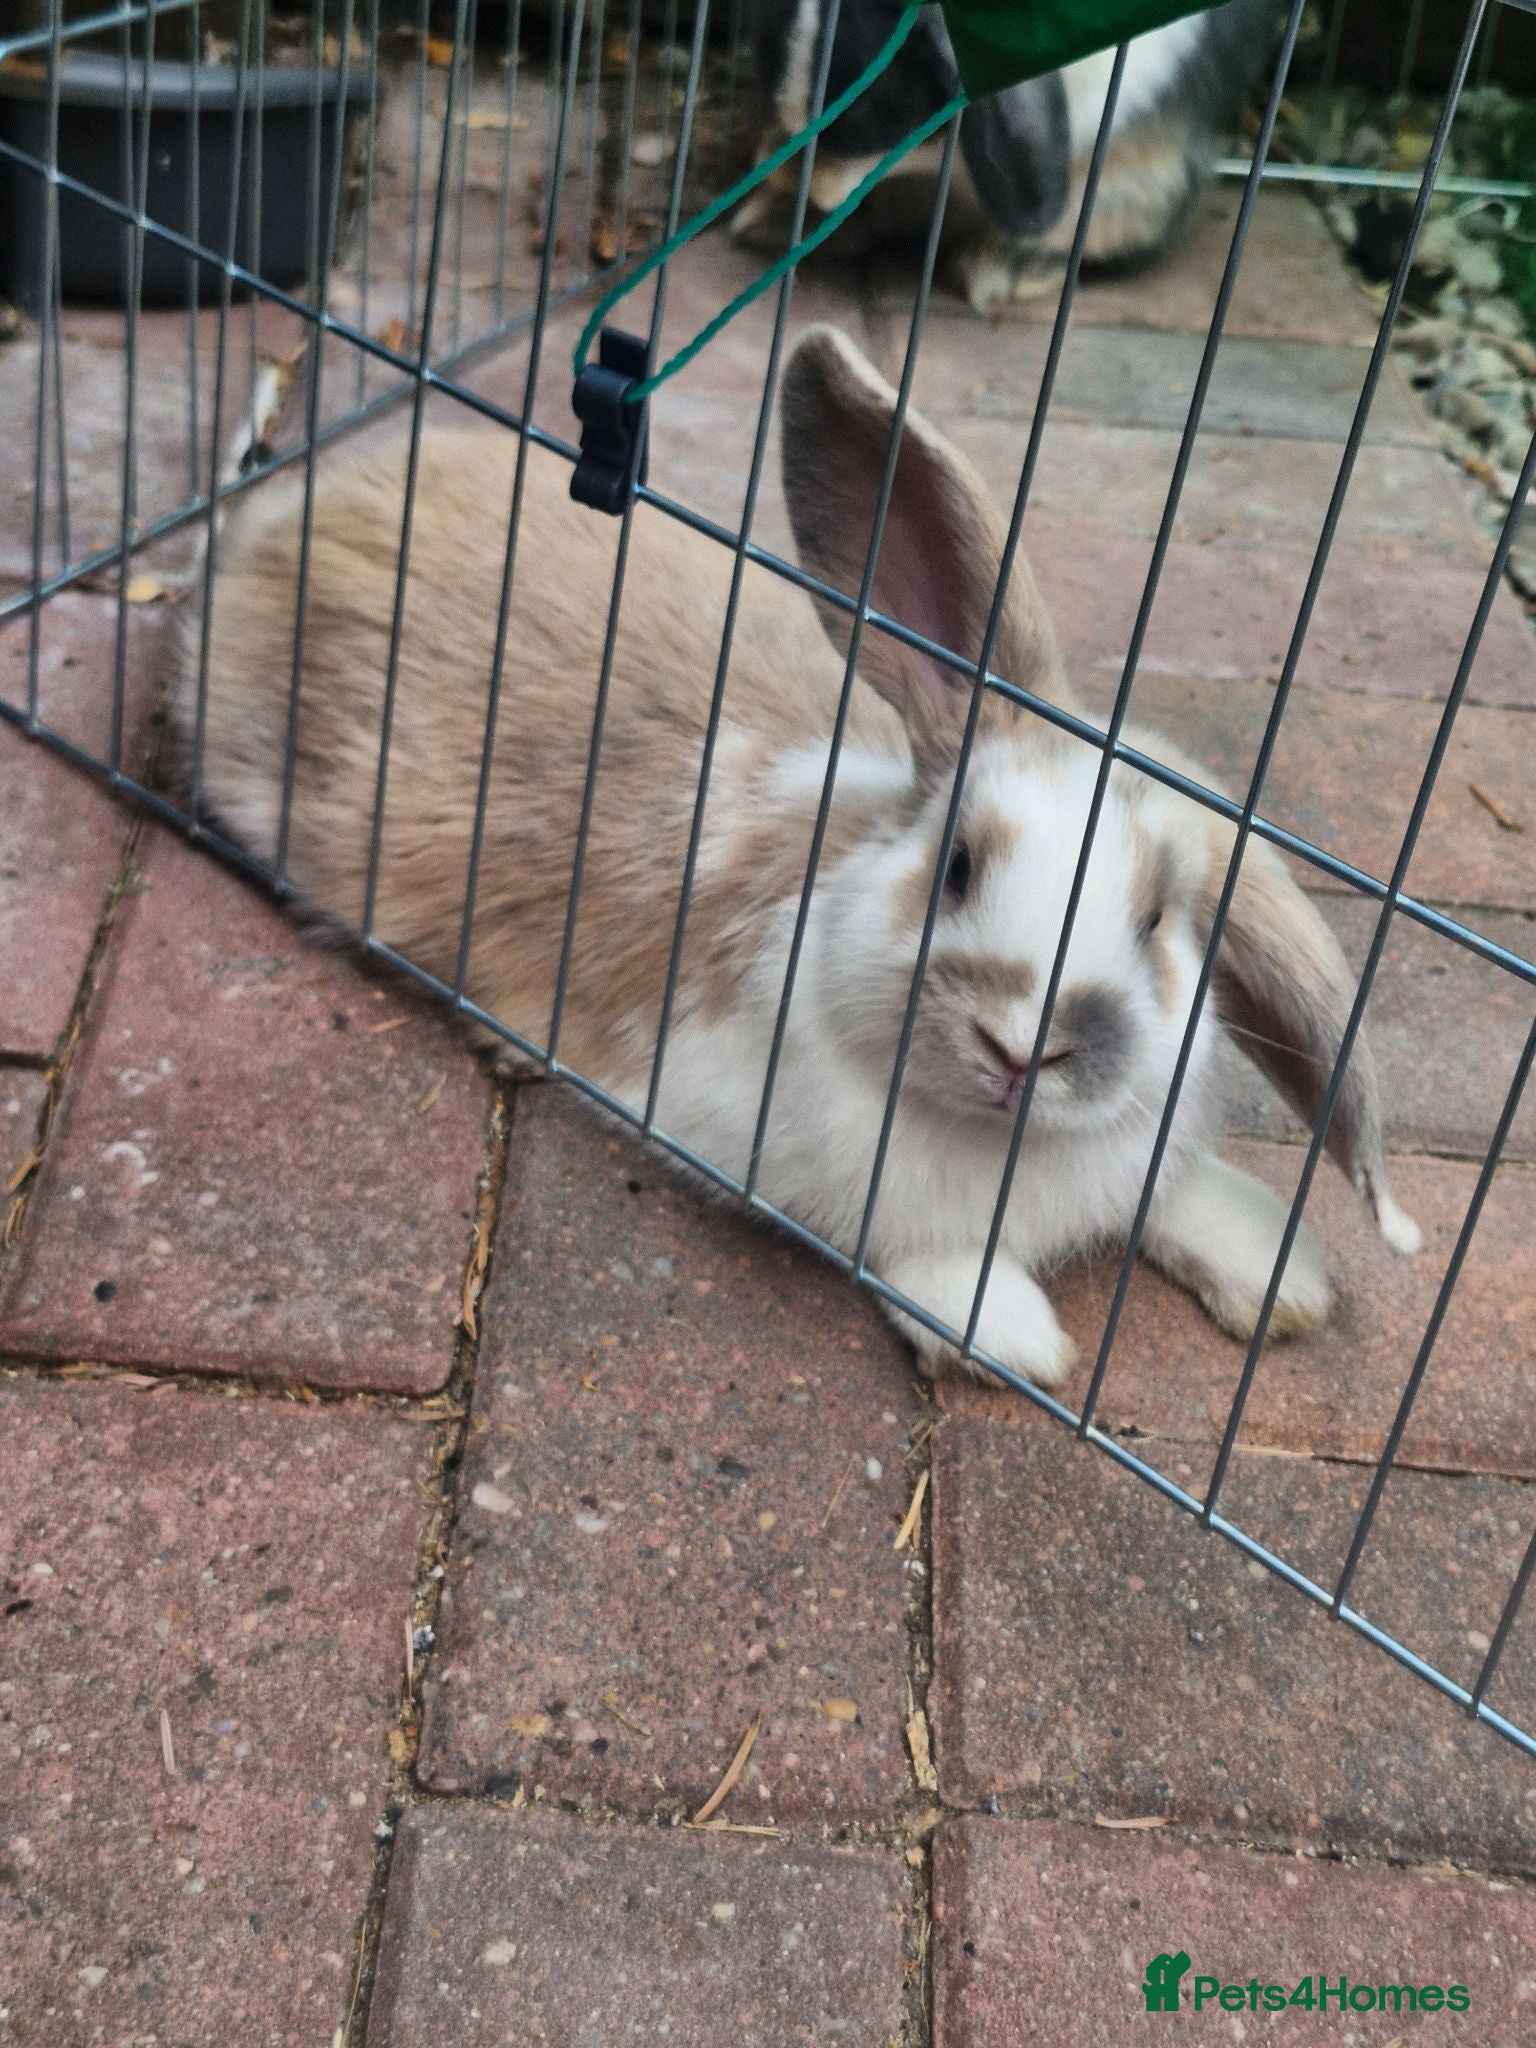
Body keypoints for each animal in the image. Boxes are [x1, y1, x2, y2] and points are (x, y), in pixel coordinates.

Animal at [174, 322, 1419, 1391]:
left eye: (1160, 921)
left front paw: (1277, 1266)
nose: (1022, 1045)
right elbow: (913, 1253)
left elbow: (1179, 1196)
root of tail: (290, 519)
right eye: (957, 863)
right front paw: (1011, 1332)